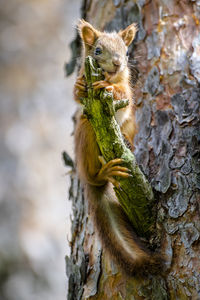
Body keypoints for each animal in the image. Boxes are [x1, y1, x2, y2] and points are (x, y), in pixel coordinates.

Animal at [72, 19, 160, 276]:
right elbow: (75, 93)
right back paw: (105, 172)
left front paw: (111, 89)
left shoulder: (127, 91)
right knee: (96, 175)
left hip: (130, 124)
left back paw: (128, 143)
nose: (118, 63)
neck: (108, 78)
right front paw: (80, 87)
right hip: (86, 135)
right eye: (97, 51)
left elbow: (124, 94)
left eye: (126, 51)